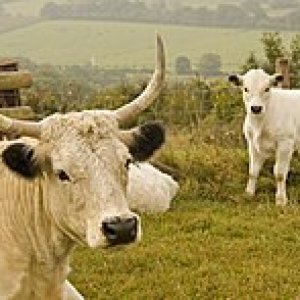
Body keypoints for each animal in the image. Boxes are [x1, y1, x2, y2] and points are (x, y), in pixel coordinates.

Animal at [227, 67, 300, 205]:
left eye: (267, 88)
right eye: (246, 88)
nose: (256, 108)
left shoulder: (285, 144)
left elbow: (280, 173)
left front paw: (281, 200)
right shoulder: (252, 144)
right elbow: (253, 171)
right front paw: (249, 194)